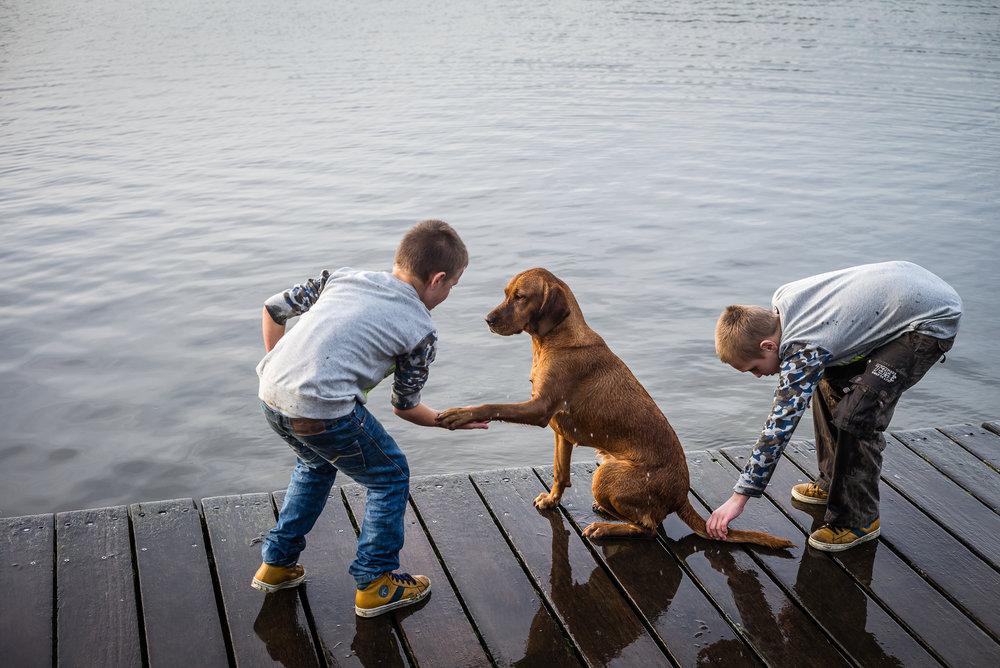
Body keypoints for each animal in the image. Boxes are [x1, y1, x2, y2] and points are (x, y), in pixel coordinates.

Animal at [442, 266, 792, 548]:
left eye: (520, 297)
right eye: (505, 293)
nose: (488, 320)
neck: (553, 340)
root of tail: (681, 495)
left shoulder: (540, 409)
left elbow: (491, 405)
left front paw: (460, 413)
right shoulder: (560, 433)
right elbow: (559, 473)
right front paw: (553, 500)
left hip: (606, 474)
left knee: (650, 528)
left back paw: (605, 528)